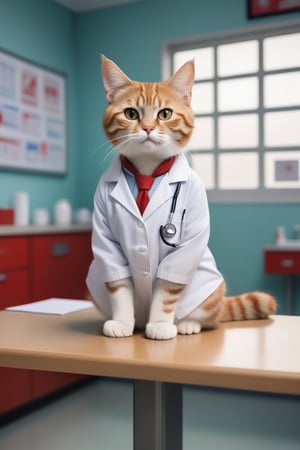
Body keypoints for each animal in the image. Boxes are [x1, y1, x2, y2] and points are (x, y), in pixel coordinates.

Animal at [85, 55, 276, 338]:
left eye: (165, 114)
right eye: (131, 113)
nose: (148, 128)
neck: (147, 171)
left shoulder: (186, 242)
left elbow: (168, 289)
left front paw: (160, 325)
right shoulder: (105, 237)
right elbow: (118, 285)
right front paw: (121, 322)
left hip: (211, 289)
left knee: (210, 316)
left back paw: (187, 324)